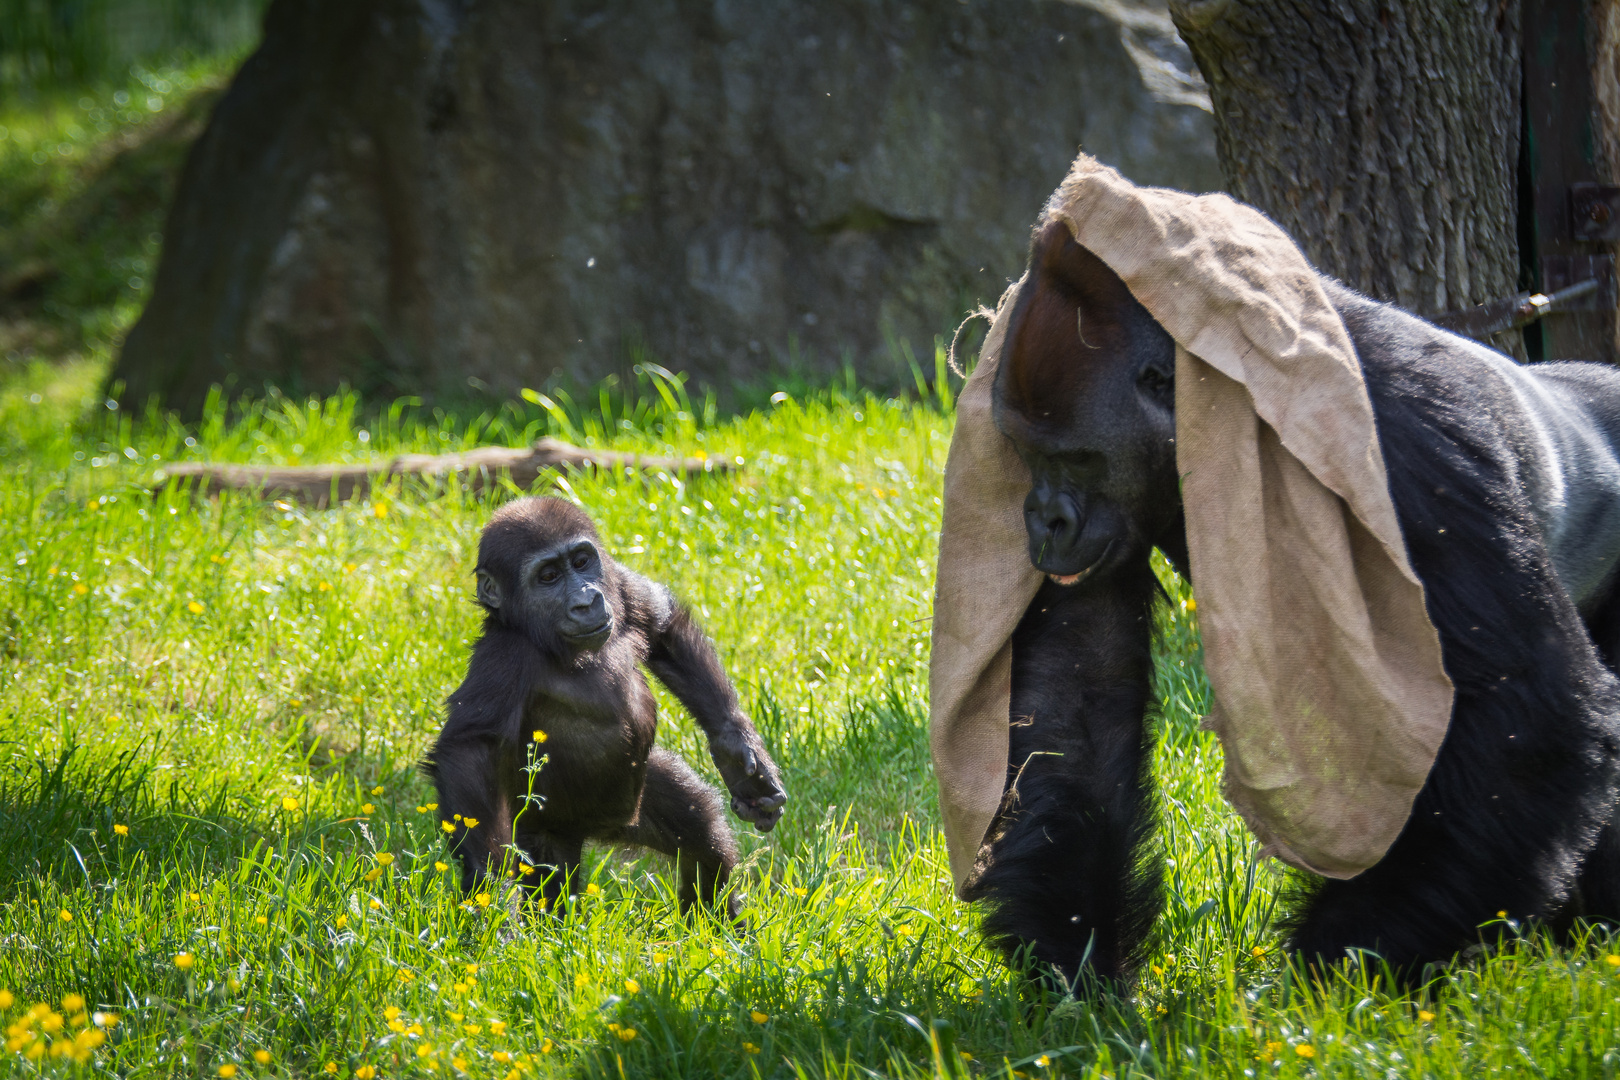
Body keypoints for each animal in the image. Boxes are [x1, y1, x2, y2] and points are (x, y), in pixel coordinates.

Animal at [424, 495, 784, 913]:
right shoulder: (505, 656)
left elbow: (662, 625)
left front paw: (738, 754)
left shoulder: (620, 588)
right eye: (548, 576)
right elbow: (470, 750)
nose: (586, 600)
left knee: (700, 832)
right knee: (548, 891)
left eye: (582, 562)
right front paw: (491, 888)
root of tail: (597, 831)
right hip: (538, 827)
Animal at [952, 191, 1620, 990]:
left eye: (1078, 459)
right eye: (1026, 454)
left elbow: (1528, 720)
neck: (1224, 377)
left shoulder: (1405, 450)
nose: (1042, 520)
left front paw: (1334, 969)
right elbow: (1077, 700)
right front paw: (1083, 966)